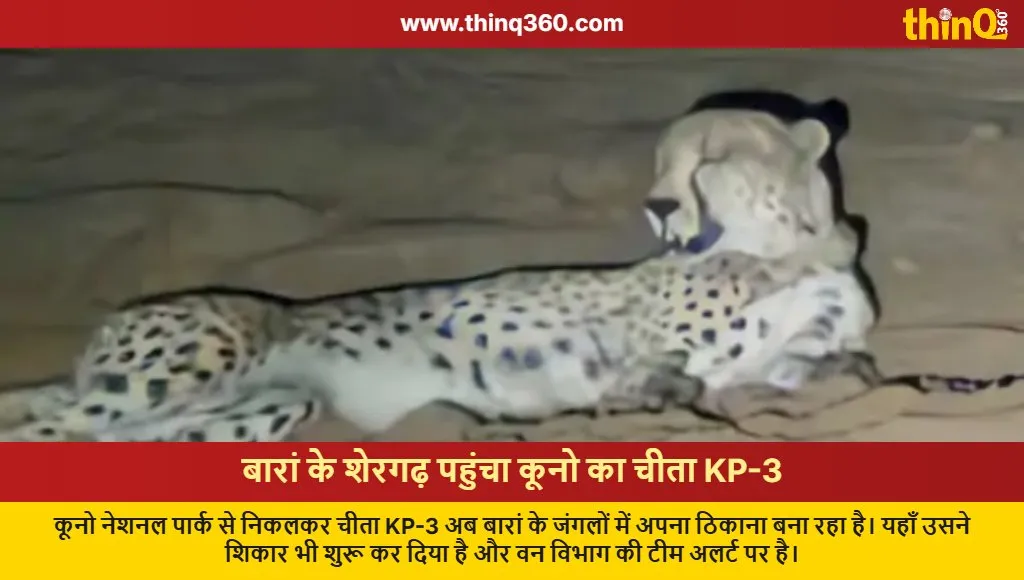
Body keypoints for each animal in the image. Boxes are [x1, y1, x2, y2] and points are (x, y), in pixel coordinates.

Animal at [0, 154, 875, 443]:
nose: (669, 205)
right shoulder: (638, 330)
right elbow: (655, 361)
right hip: (191, 362)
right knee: (47, 420)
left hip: (265, 405)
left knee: (85, 435)